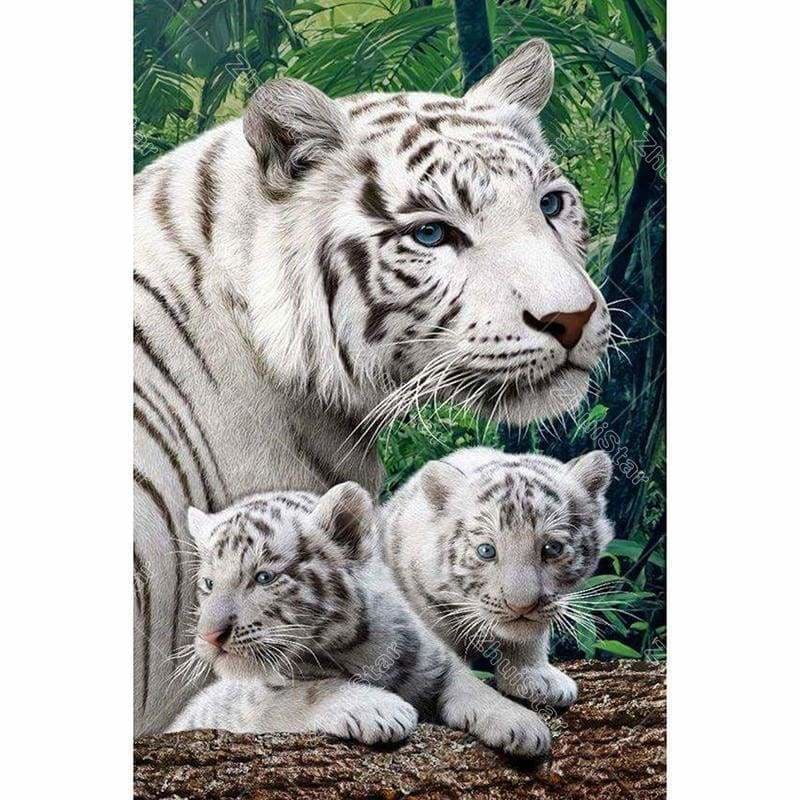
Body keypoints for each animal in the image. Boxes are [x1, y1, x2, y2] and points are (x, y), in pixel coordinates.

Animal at [167, 482, 552, 757]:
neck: (357, 648)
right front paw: (381, 709)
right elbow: (308, 692)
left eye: (264, 578)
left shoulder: (434, 659)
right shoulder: (247, 704)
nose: (209, 635)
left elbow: (470, 683)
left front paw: (522, 725)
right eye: (208, 584)